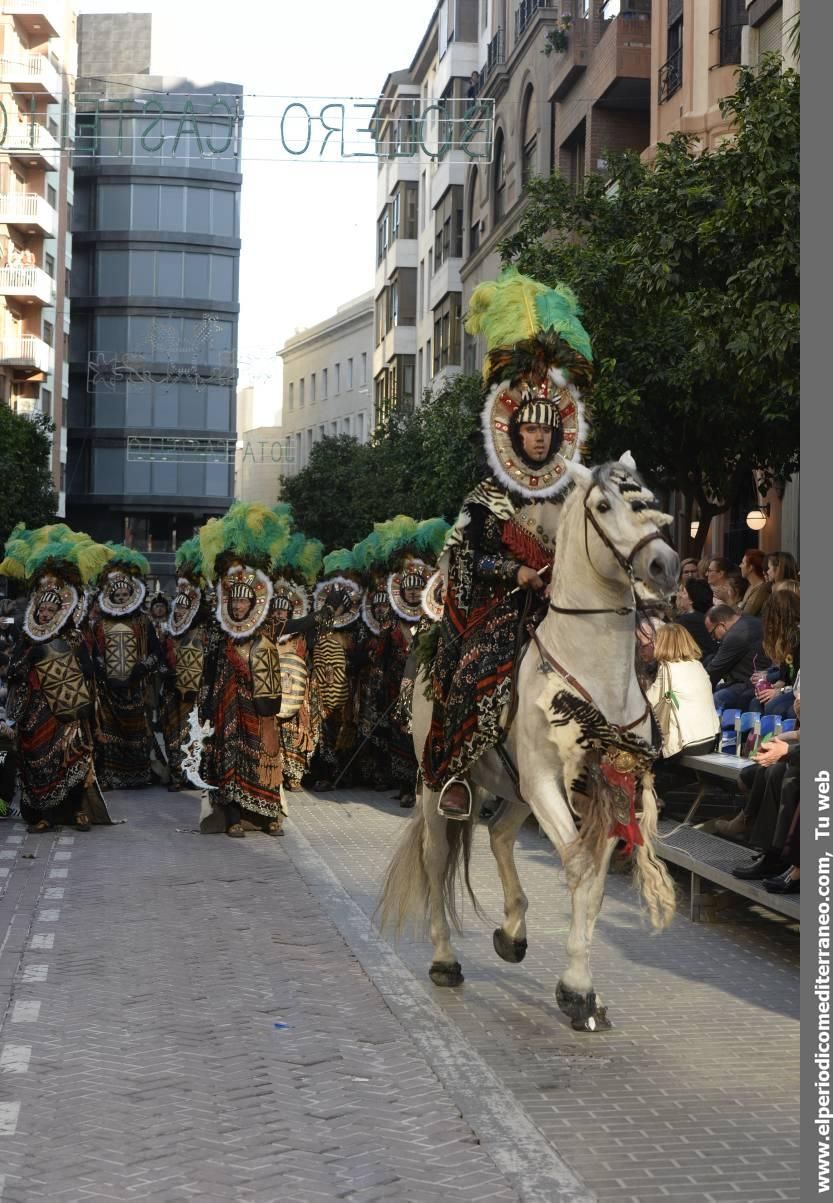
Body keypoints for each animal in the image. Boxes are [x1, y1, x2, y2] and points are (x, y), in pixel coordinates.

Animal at [380, 454, 678, 1029]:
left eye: (650, 500)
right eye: (603, 505)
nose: (665, 566)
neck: (594, 675)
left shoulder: (608, 783)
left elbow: (595, 879)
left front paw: (582, 989)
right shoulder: (544, 780)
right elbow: (580, 870)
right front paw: (576, 989)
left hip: (515, 789)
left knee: (498, 834)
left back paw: (512, 933)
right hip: (439, 782)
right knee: (435, 856)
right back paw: (445, 958)